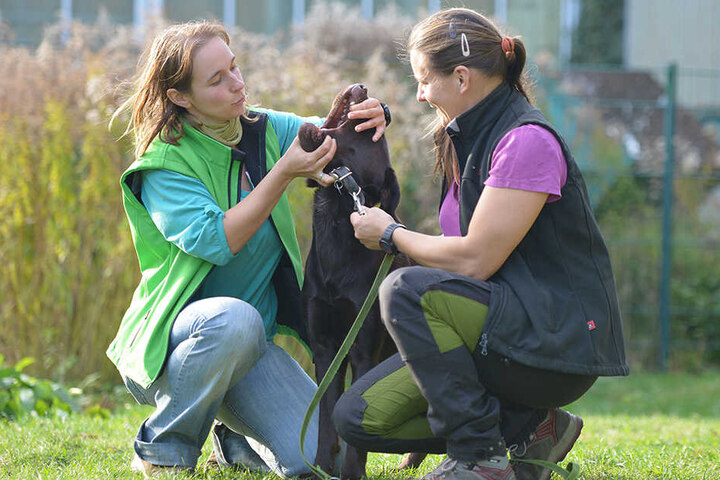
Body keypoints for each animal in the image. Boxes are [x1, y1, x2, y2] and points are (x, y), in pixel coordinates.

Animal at [300, 84, 428, 478]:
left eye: (374, 136)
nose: (362, 88)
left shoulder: (363, 350)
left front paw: (350, 473)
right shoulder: (325, 346)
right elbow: (326, 416)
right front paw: (322, 467)